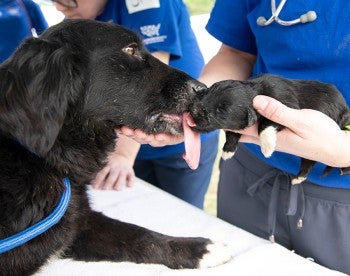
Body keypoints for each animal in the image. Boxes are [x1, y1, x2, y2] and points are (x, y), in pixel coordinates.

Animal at [0, 20, 230, 276]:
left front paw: (200, 250)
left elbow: (141, 235)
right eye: (130, 49)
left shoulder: (77, 220)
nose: (202, 88)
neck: (48, 159)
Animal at [190, 74, 350, 184]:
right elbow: (232, 134)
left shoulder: (287, 108)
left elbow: (265, 125)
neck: (257, 92)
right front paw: (228, 151)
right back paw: (299, 178)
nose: (194, 109)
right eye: (207, 92)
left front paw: (267, 147)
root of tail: (345, 110)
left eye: (221, 110)